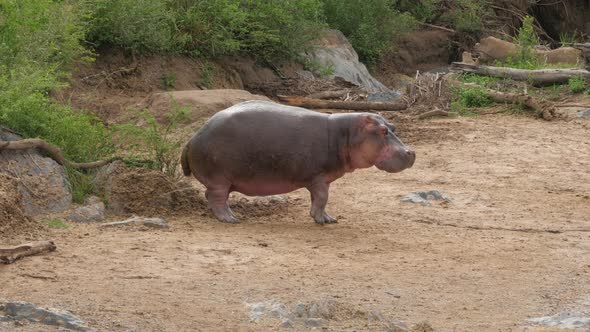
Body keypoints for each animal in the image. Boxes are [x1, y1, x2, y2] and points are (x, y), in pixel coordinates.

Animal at [180, 100, 416, 223]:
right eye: (383, 131)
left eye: (393, 127)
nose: (411, 152)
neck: (346, 134)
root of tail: (192, 138)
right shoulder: (319, 178)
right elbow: (322, 198)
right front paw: (323, 221)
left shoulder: (321, 179)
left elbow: (318, 200)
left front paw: (328, 218)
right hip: (219, 179)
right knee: (215, 197)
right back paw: (231, 219)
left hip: (225, 180)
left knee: (216, 198)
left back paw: (231, 215)